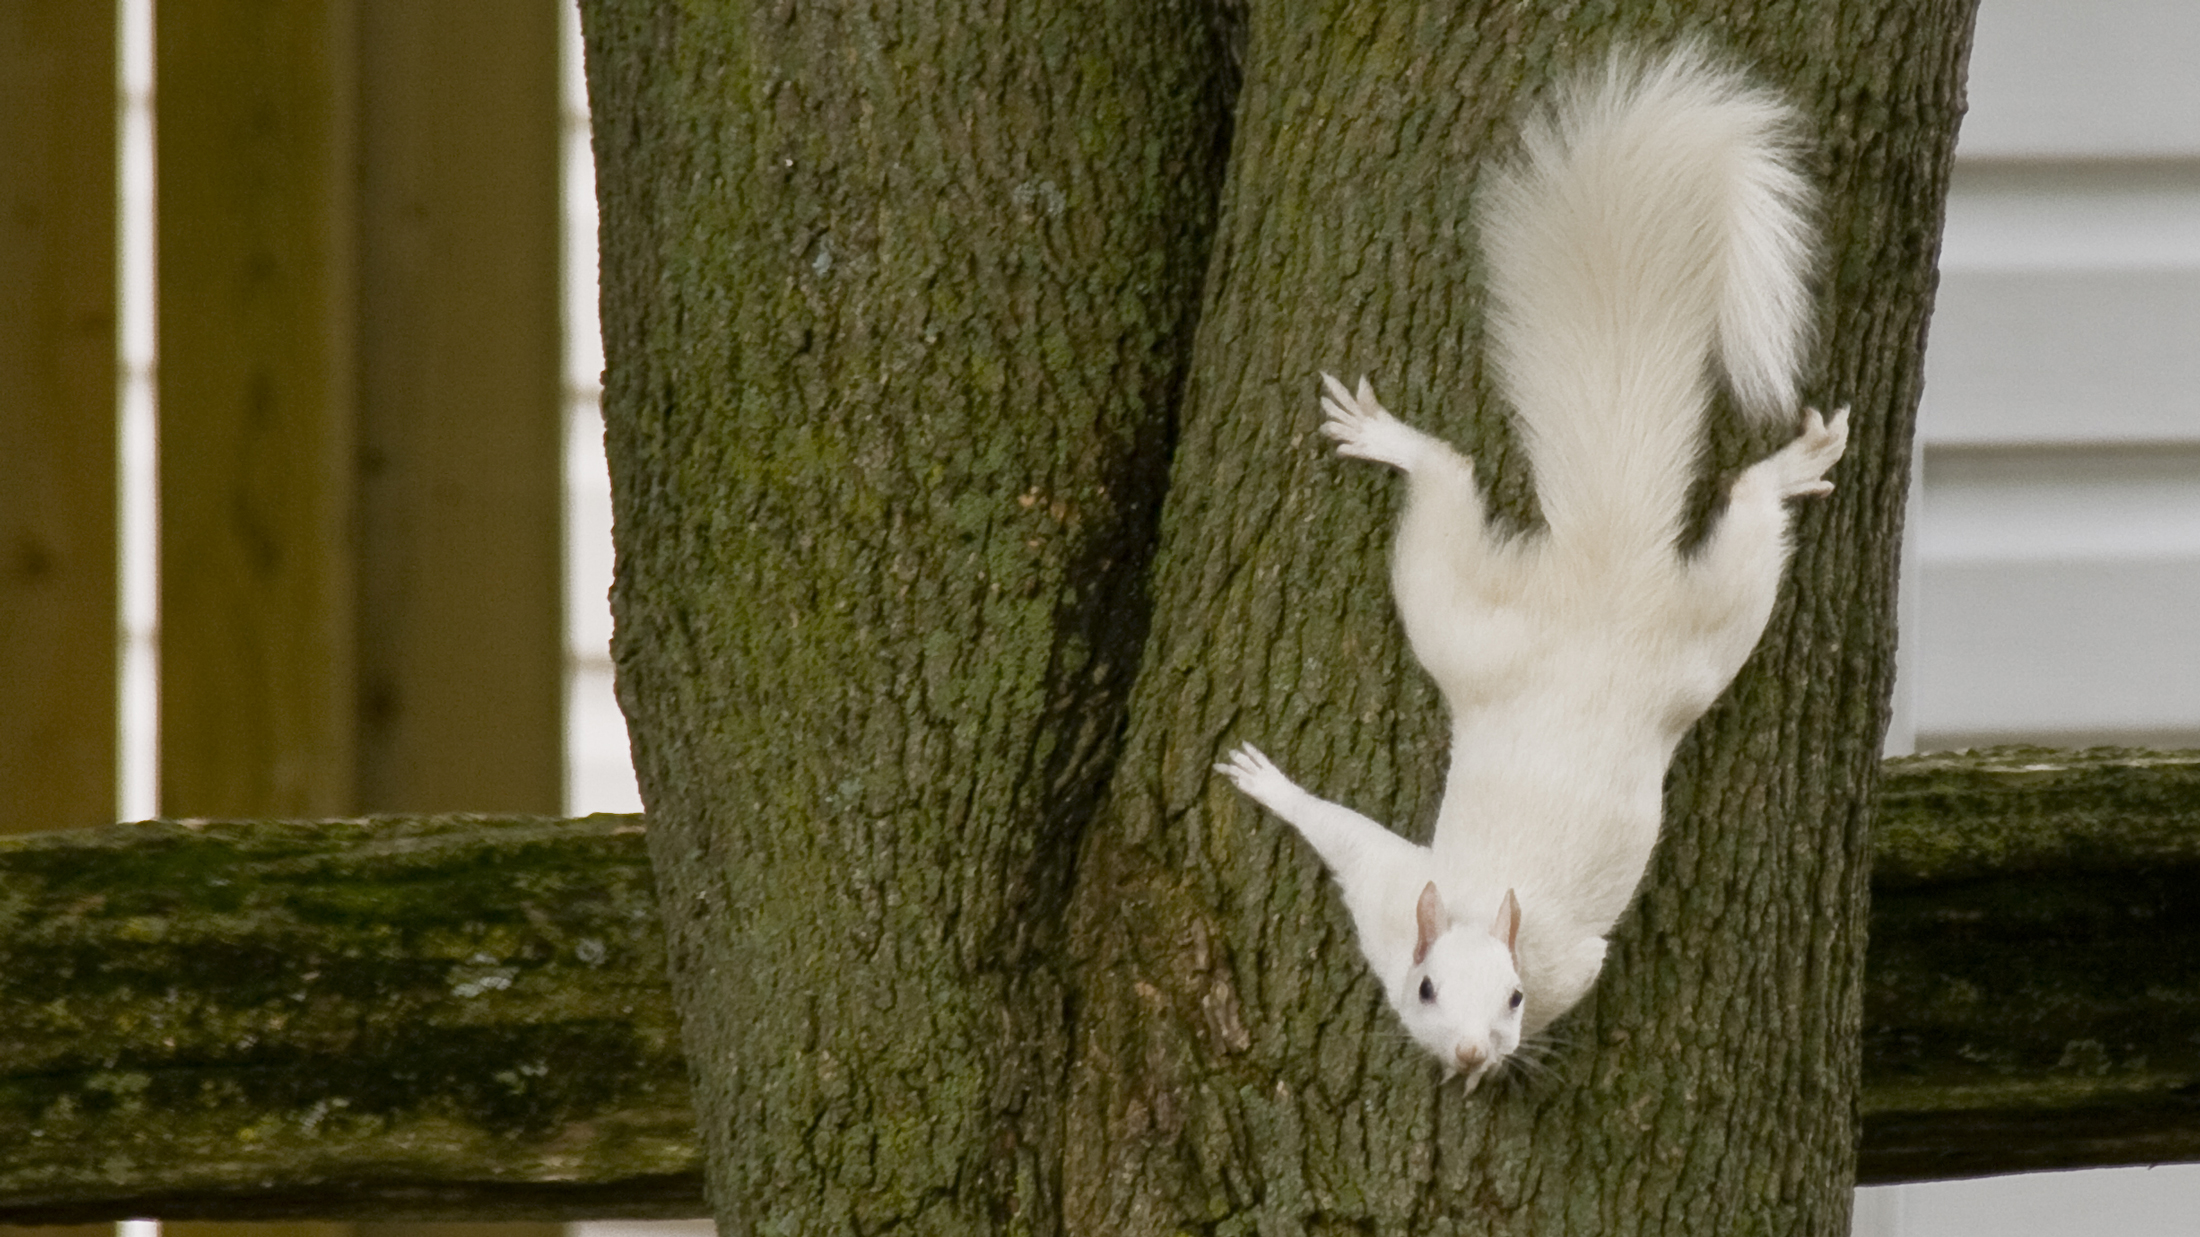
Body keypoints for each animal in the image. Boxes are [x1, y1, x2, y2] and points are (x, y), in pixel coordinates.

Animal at [1214, 45, 1848, 1087]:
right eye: (1426, 988)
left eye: (1513, 998)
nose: (1475, 1046)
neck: (1485, 911)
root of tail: (1606, 576)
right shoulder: (1395, 894)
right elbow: (1341, 831)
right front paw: (1269, 782)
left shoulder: (1567, 960)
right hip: (1508, 626)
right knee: (1452, 480)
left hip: (1683, 641)